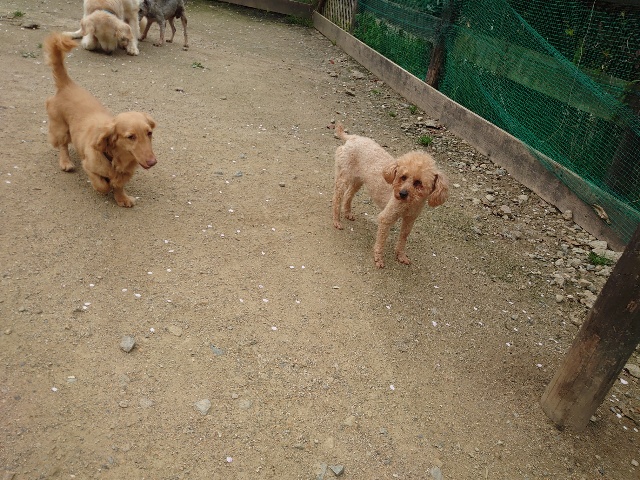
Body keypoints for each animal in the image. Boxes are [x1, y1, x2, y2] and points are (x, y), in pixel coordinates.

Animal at [45, 33, 157, 207]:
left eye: (149, 133)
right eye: (131, 137)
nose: (152, 162)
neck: (116, 158)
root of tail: (67, 85)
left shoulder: (124, 172)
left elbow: (119, 184)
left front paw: (122, 198)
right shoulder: (89, 166)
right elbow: (102, 185)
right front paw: (107, 186)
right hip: (61, 129)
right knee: (63, 146)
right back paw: (66, 162)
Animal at [332, 124, 449, 268]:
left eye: (418, 183)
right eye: (403, 177)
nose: (401, 194)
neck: (410, 203)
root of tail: (353, 138)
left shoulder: (410, 220)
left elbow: (403, 238)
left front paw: (401, 255)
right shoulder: (386, 218)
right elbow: (381, 240)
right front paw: (378, 258)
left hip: (358, 180)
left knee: (349, 194)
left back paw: (348, 213)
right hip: (344, 176)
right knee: (337, 197)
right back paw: (337, 221)